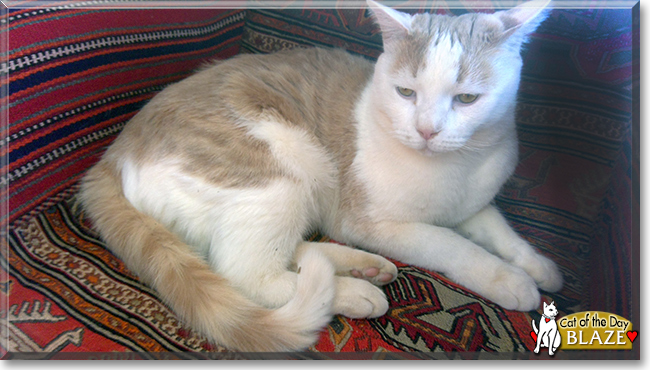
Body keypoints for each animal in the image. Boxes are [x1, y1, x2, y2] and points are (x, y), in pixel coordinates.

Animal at [77, 0, 560, 352]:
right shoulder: (370, 221)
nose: (427, 130)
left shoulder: (473, 204)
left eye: (467, 99)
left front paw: (538, 266)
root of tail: (113, 154)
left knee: (288, 251)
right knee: (247, 274)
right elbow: (453, 245)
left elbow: (499, 230)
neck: (456, 170)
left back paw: (360, 266)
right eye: (406, 92)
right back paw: (351, 292)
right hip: (281, 173)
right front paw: (508, 280)